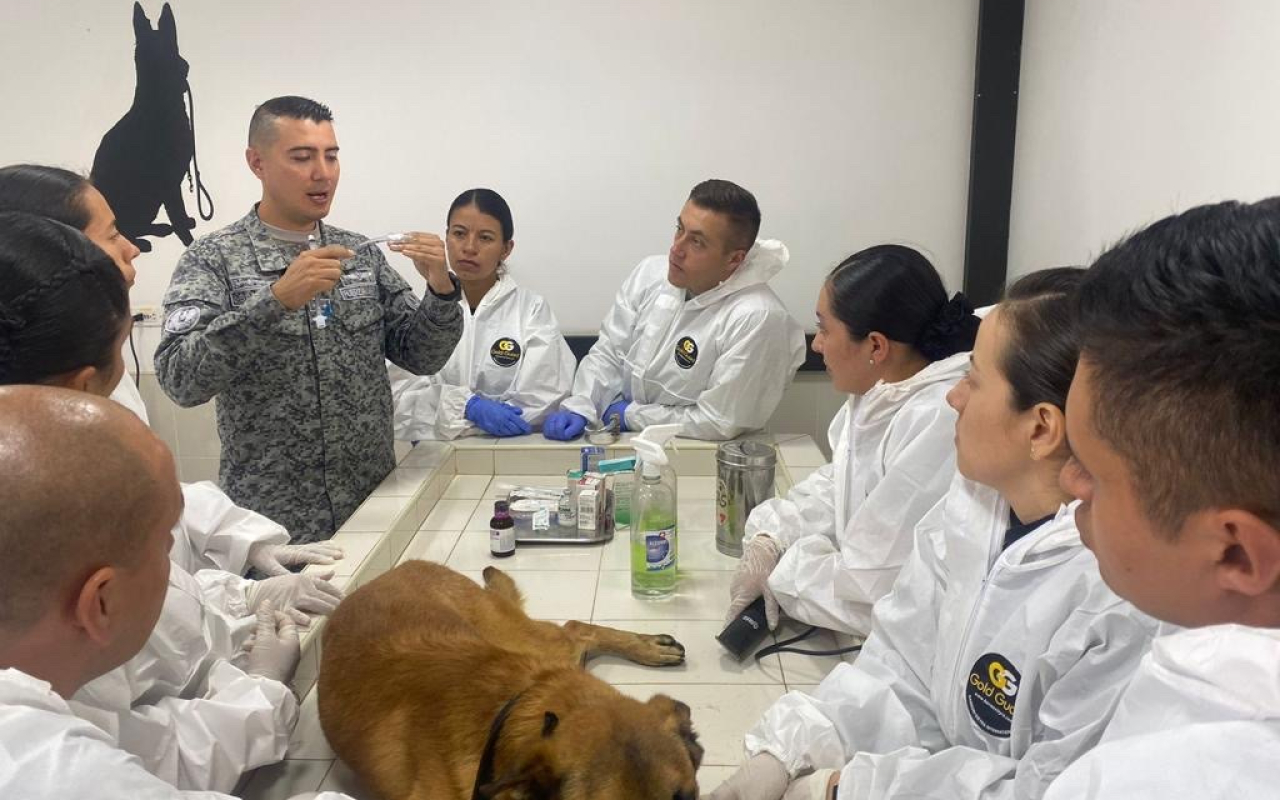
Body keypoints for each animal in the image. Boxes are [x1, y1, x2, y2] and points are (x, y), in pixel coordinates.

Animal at [317, 558, 701, 798]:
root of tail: (396, 569)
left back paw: (649, 648)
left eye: (687, 798)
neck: (507, 715)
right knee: (575, 631)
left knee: (576, 630)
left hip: (524, 643)